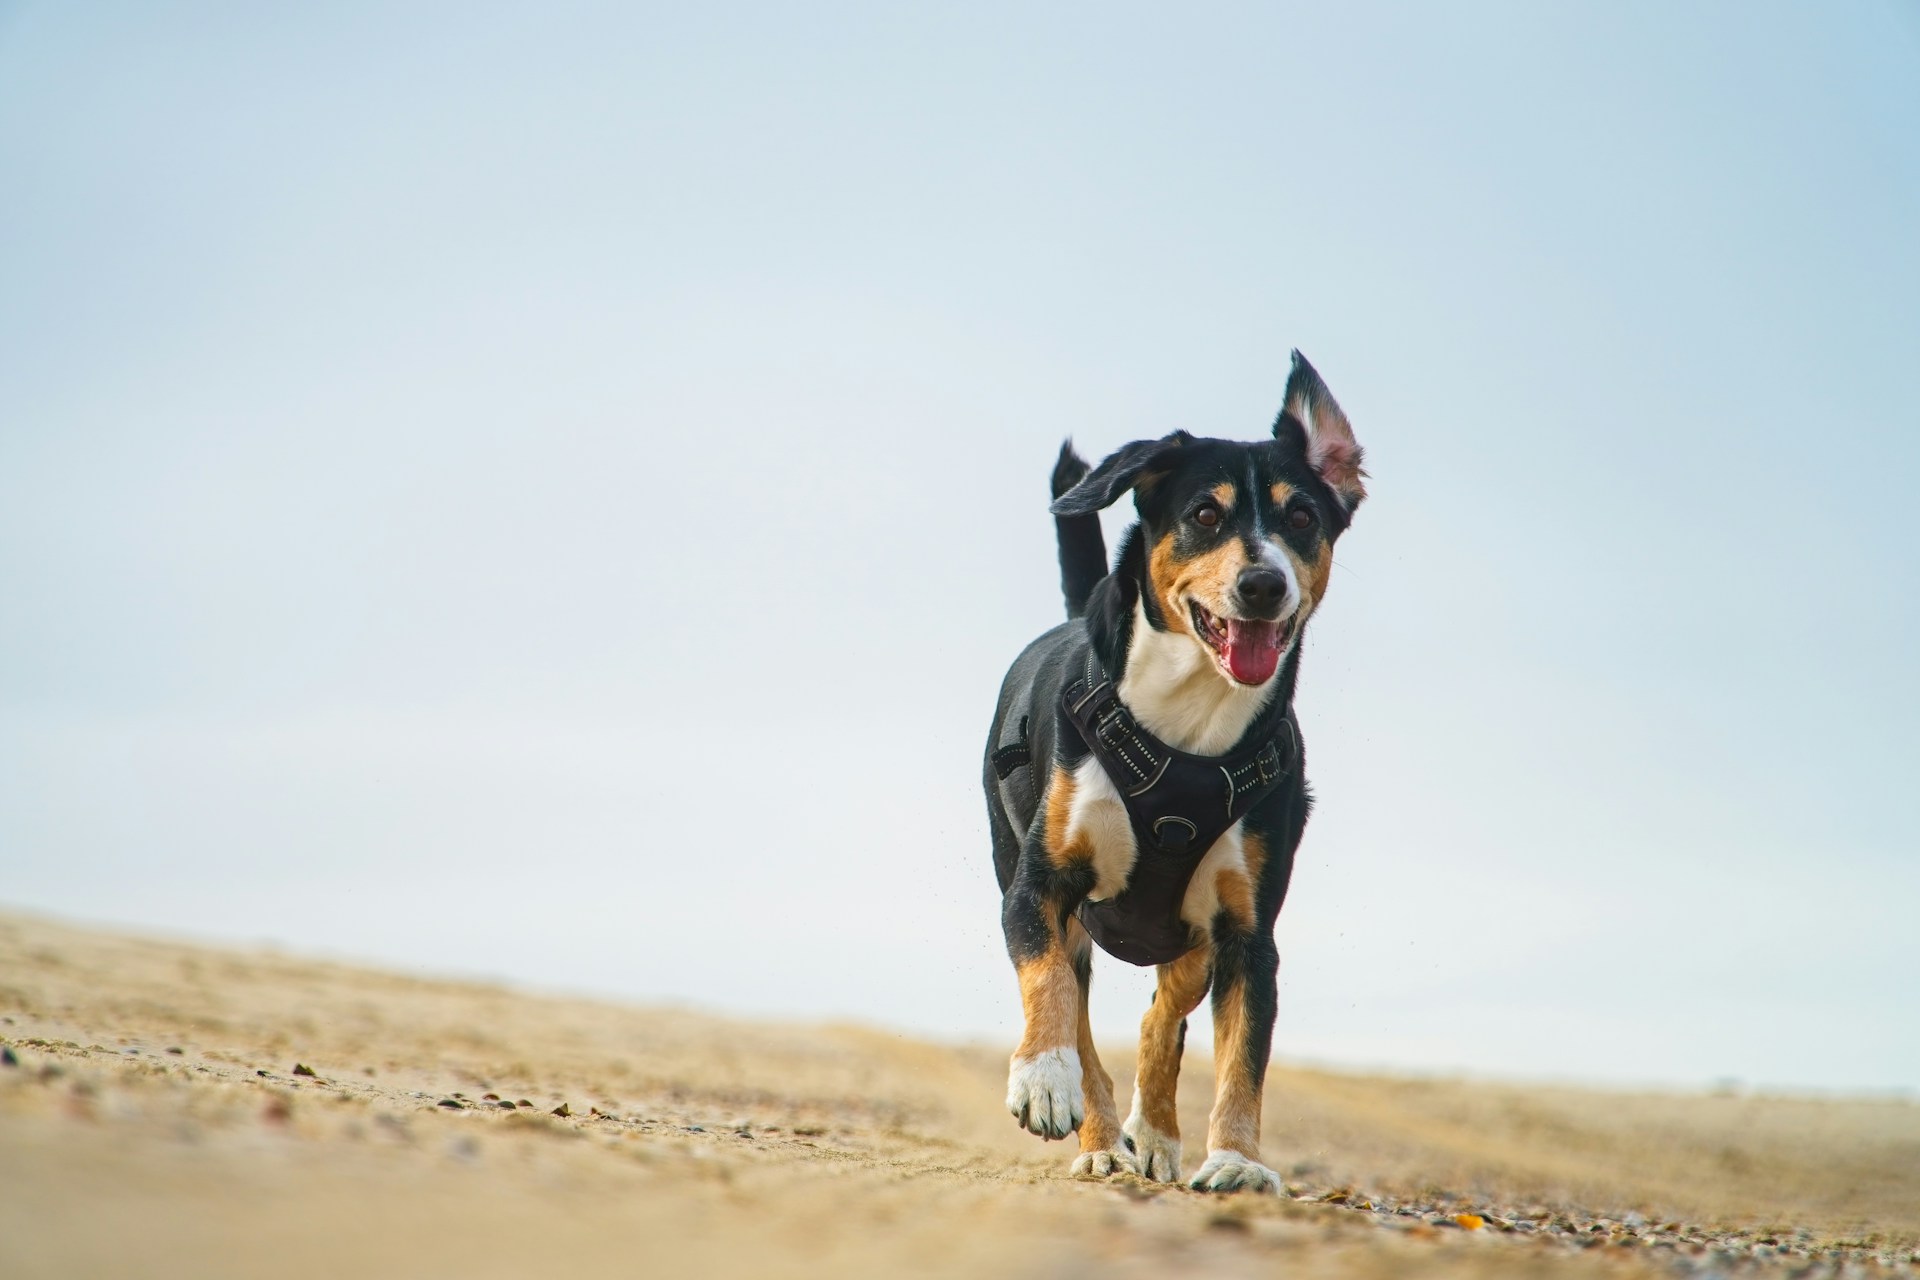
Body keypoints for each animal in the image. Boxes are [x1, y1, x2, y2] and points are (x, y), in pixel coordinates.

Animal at [990, 347, 1367, 1189]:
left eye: (1302, 518)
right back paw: (1099, 1136)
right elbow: (1048, 987)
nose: (1263, 584)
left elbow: (1243, 1056)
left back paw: (1153, 1135)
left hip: (1193, 933)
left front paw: (1237, 1160)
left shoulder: (1250, 934)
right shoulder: (1038, 889)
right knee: (1082, 1008)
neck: (1189, 726)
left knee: (1163, 1014)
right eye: (1204, 515)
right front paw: (1043, 1078)